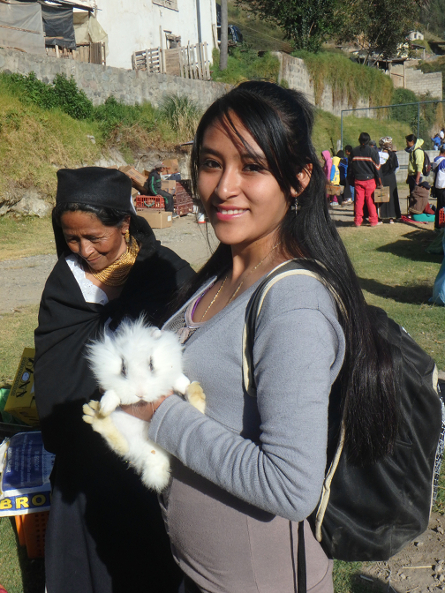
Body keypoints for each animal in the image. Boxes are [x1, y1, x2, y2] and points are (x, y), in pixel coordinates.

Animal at [82, 316, 206, 492]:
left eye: (151, 364)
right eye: (123, 368)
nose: (140, 393)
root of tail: (152, 456)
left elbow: (177, 379)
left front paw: (185, 385)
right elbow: (112, 392)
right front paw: (106, 406)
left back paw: (195, 391)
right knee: (122, 445)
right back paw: (97, 416)